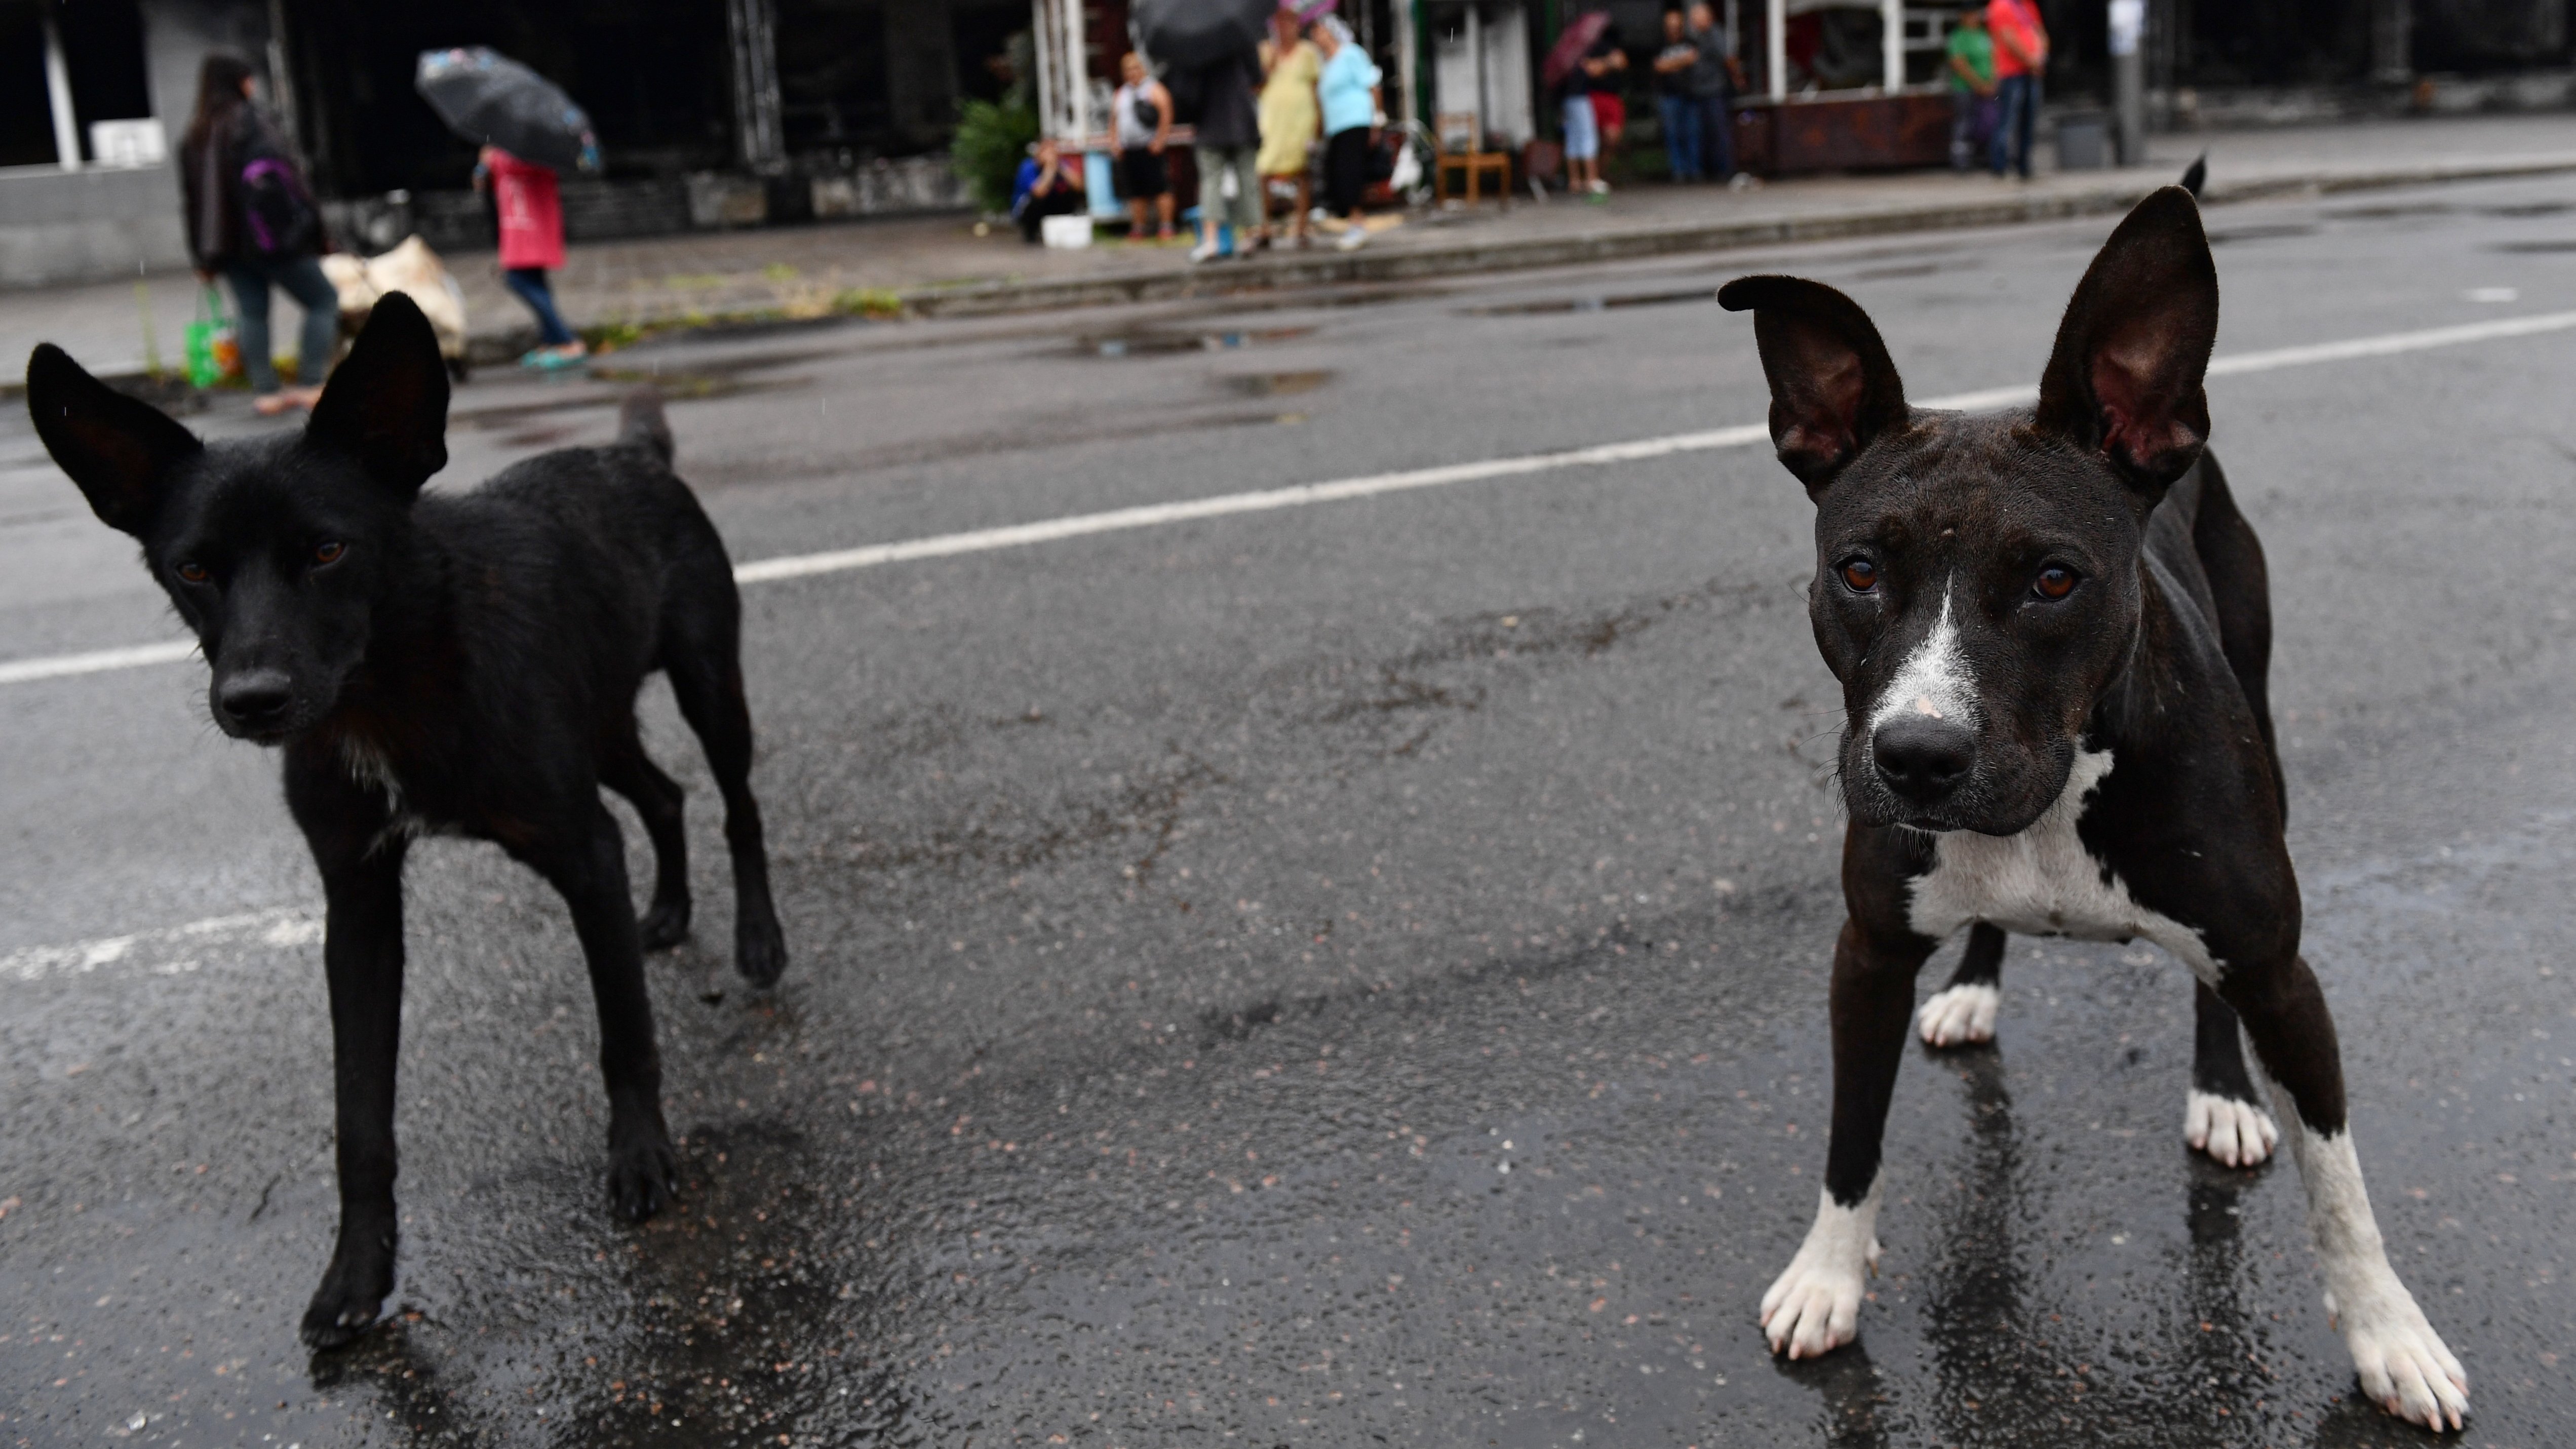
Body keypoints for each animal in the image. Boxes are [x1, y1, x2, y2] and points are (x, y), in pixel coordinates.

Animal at [25, 294, 783, 1348]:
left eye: (329, 550)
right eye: (193, 569)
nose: (253, 701)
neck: (389, 691)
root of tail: (631, 453)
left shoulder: (580, 848)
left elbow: (623, 1028)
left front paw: (639, 1157)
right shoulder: (358, 903)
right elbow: (360, 1116)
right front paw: (356, 1272)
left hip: (710, 689)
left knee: (736, 806)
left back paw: (757, 939)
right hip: (599, 727)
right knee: (664, 795)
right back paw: (668, 911)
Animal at [1721, 190, 2463, 1431]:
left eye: (2053, 580)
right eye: (1858, 570)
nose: (1916, 756)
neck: (2057, 789)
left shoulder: (2281, 972)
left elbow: (2340, 1184)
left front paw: (2388, 1335)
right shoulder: (1865, 954)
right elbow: (1850, 1137)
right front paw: (1827, 1277)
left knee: (2213, 991)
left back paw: (2221, 1093)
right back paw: (1974, 983)